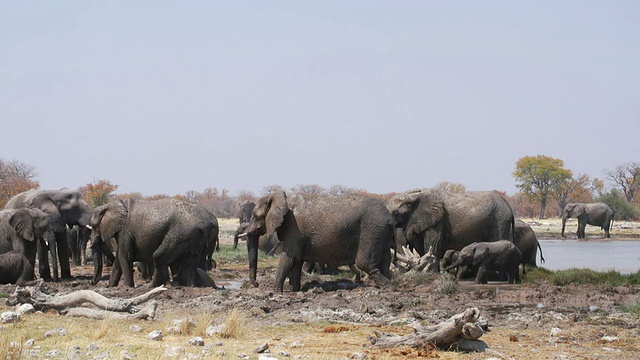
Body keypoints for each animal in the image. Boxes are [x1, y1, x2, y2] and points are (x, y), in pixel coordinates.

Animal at [236, 191, 392, 292]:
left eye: (256, 216)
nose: (256, 284)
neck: (282, 197)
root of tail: (389, 215)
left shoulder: (294, 228)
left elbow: (289, 258)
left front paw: (276, 292)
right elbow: (297, 260)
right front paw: (295, 290)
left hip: (370, 229)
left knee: (364, 263)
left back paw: (386, 286)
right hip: (380, 232)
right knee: (385, 259)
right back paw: (388, 283)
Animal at [384, 188, 516, 270]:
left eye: (396, 213)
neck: (414, 197)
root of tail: (509, 208)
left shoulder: (438, 221)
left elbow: (432, 245)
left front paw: (431, 274)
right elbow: (420, 247)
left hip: (499, 220)